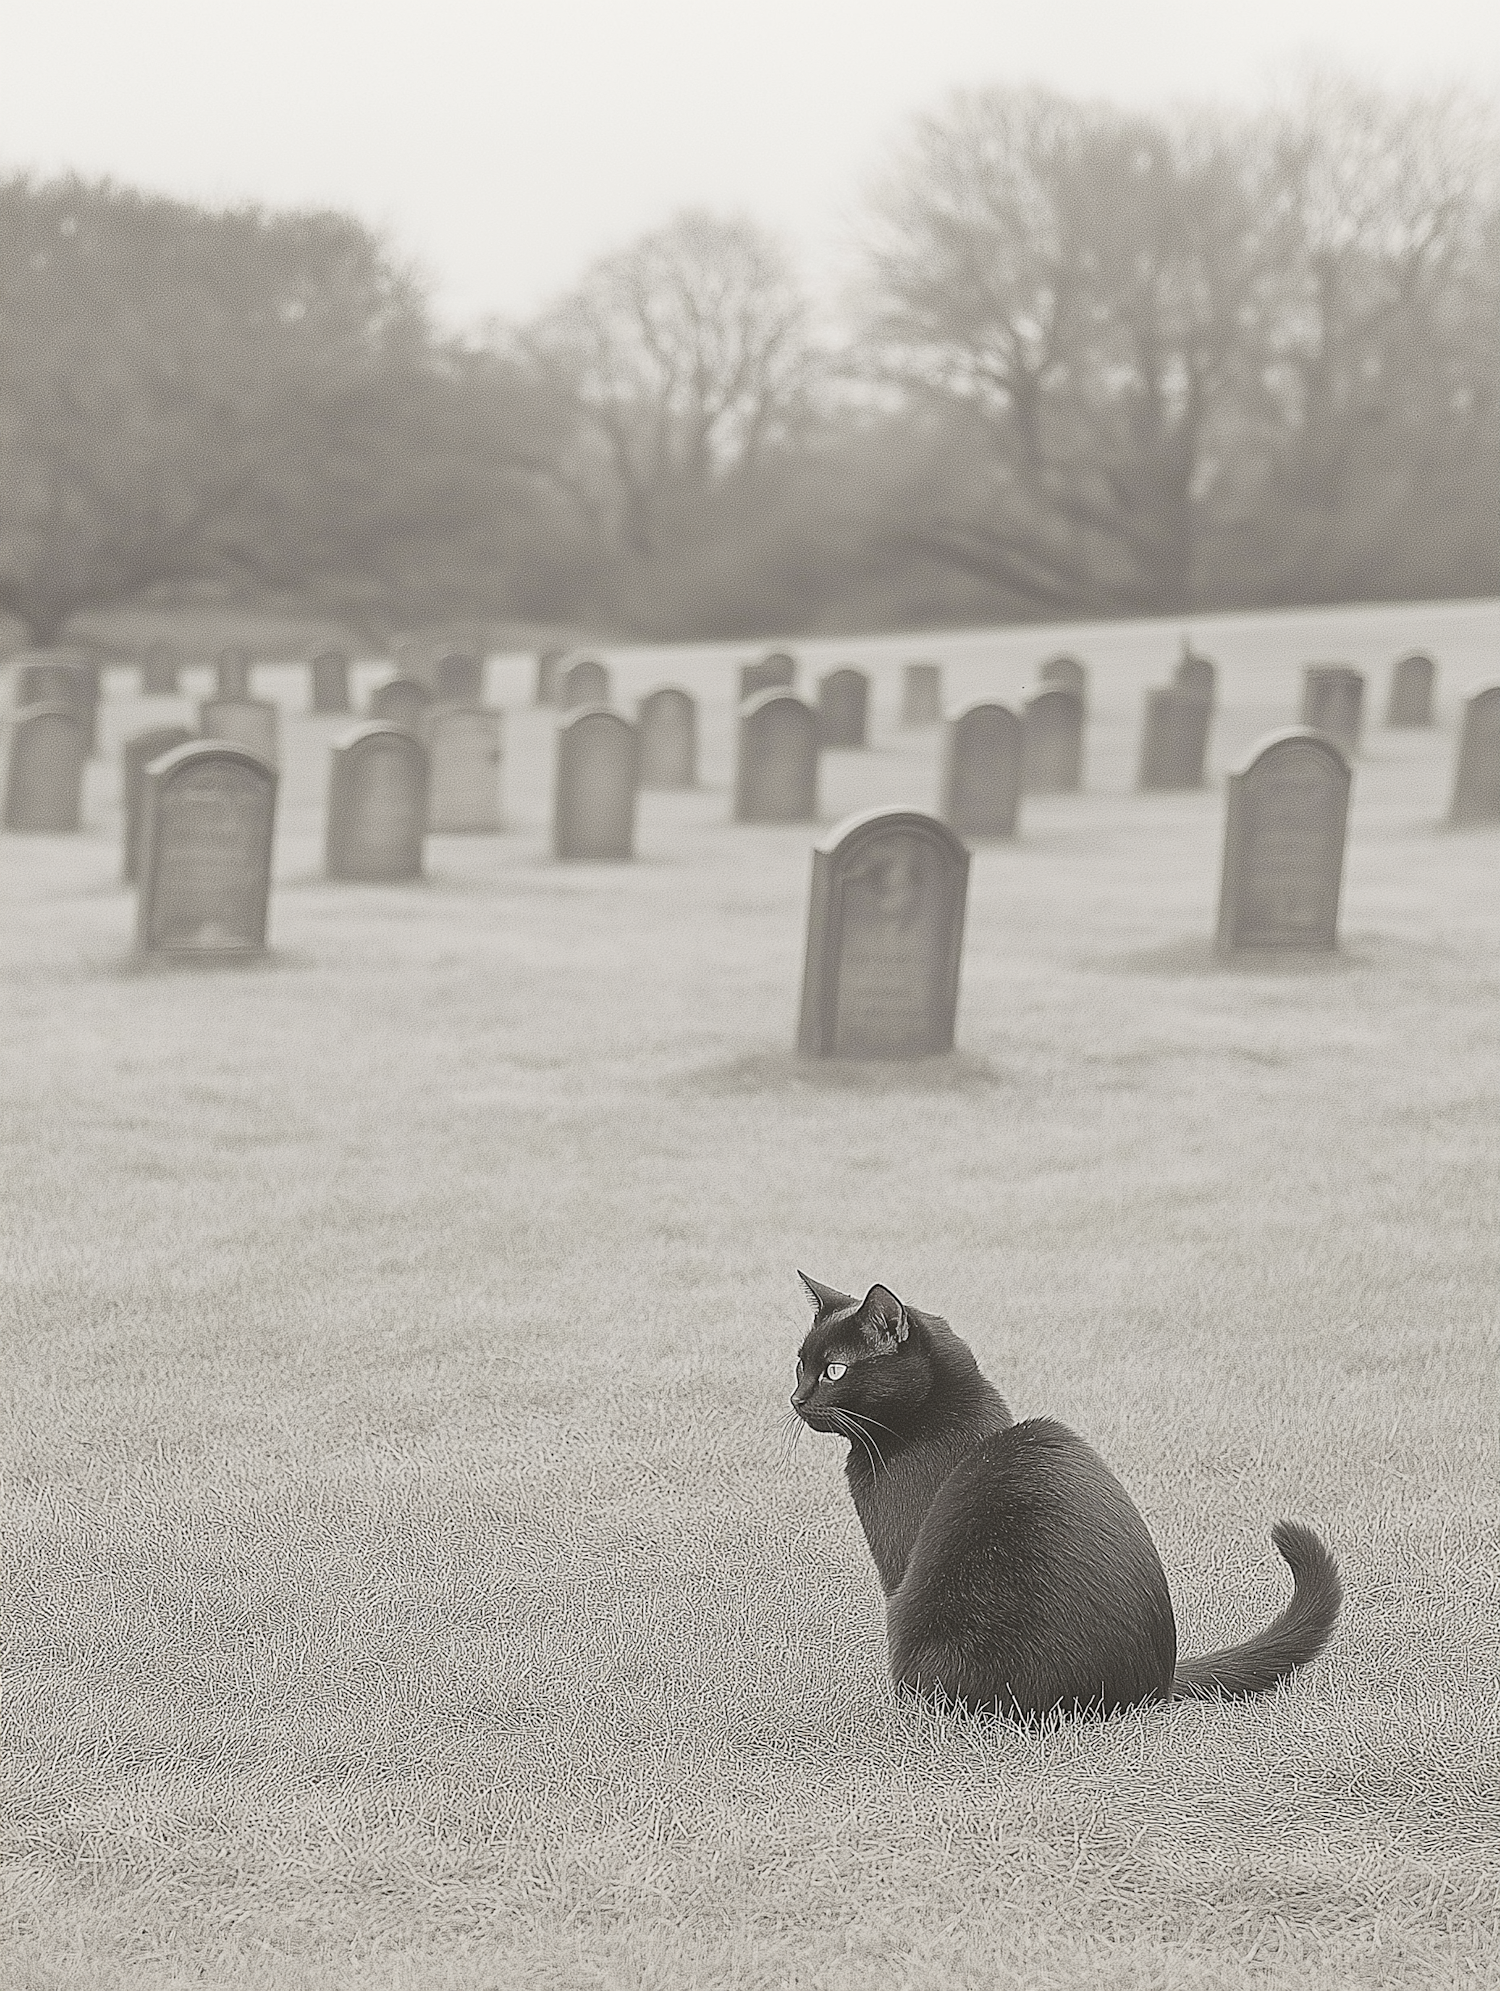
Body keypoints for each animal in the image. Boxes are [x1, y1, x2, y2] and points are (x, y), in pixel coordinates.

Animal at [788, 1274, 1338, 1728]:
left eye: (834, 1370)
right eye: (800, 1363)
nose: (795, 1398)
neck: (935, 1422)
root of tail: (1149, 1690)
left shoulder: (899, 1566)